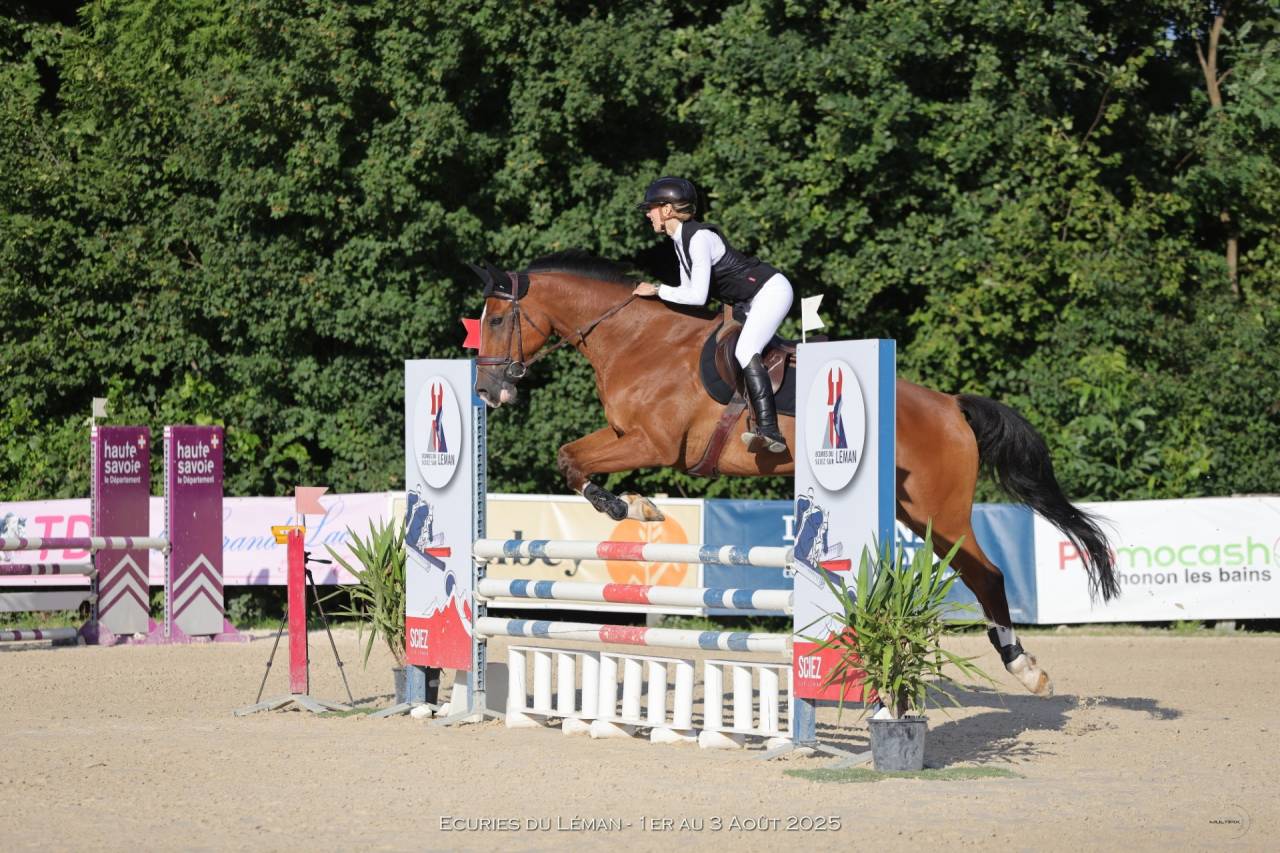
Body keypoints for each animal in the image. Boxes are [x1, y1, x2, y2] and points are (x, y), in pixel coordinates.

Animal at [469, 251, 1119, 697]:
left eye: (497, 320)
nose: (486, 391)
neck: (636, 341)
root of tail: (949, 404)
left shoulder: (652, 443)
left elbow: (572, 459)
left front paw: (632, 506)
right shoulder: (633, 441)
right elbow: (570, 457)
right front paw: (634, 505)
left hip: (942, 512)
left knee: (988, 575)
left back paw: (1026, 669)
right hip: (915, 512)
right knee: (978, 575)